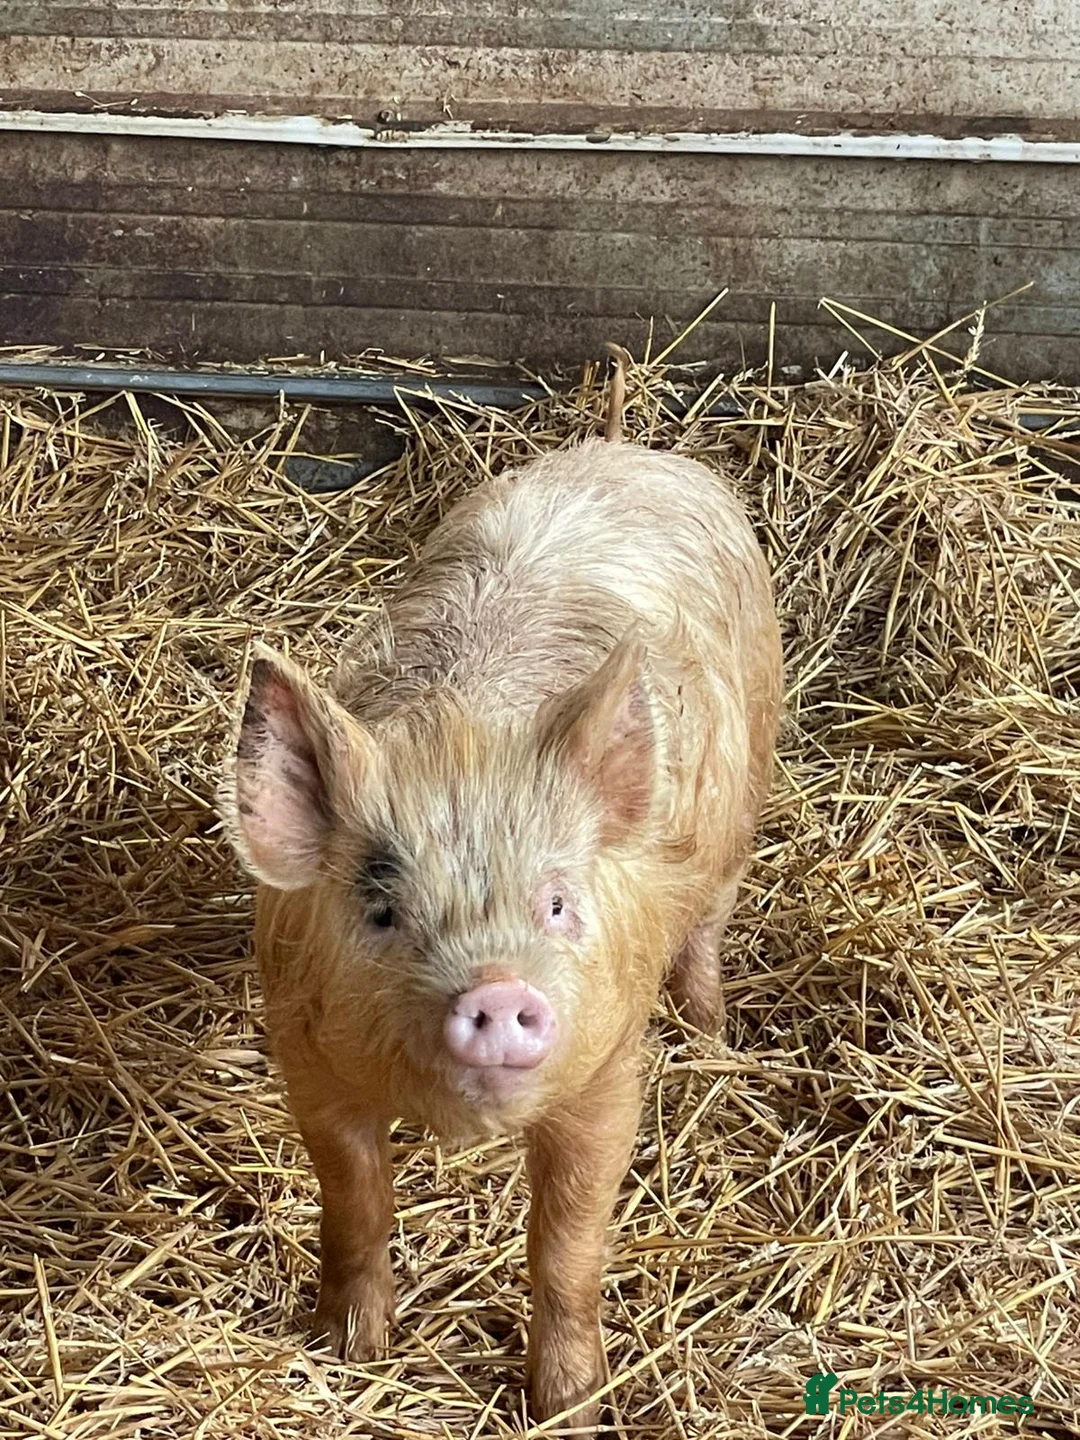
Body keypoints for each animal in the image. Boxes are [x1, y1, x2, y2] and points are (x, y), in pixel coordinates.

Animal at [220, 357, 782, 1431]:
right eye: (382, 910)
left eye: (556, 903)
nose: (494, 988)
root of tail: (627, 446)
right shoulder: (306, 1056)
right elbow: (354, 1199)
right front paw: (350, 1348)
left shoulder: (606, 1068)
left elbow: (568, 1240)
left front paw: (569, 1406)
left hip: (747, 791)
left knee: (710, 924)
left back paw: (714, 1034)